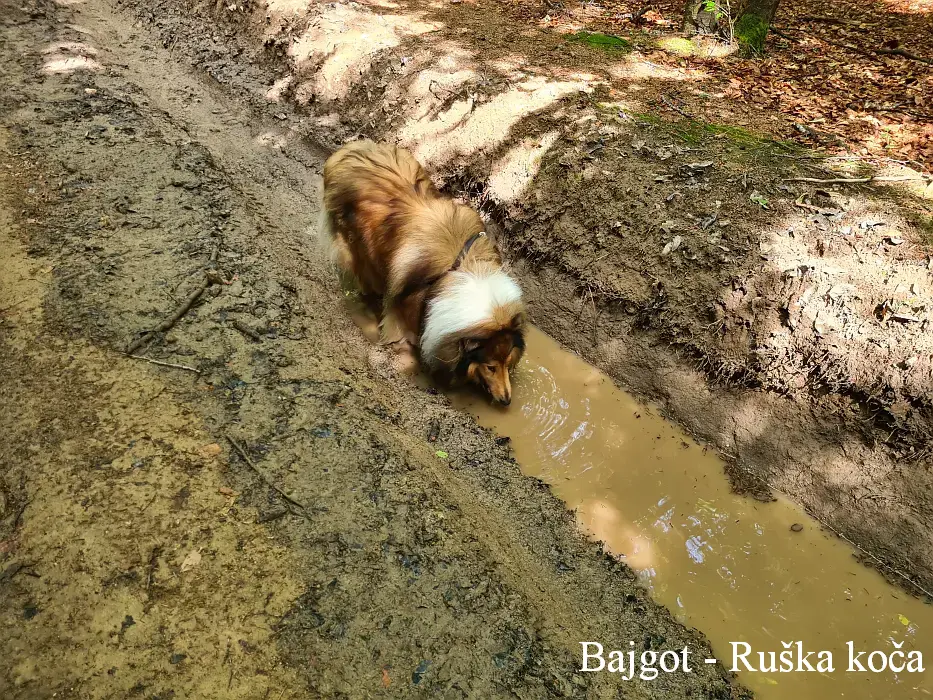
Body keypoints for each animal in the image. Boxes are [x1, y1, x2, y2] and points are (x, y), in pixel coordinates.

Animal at [318, 139, 524, 404]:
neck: (460, 268)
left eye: (507, 364)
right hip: (356, 251)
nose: (507, 400)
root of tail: (350, 148)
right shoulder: (403, 310)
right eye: (490, 366)